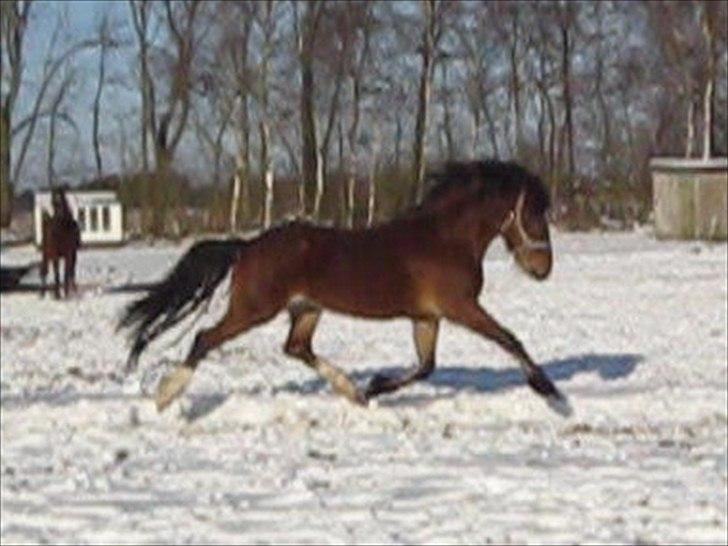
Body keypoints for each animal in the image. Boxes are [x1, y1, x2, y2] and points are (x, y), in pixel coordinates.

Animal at [119, 159, 572, 414]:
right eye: (533, 214)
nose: (544, 268)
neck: (446, 238)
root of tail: (247, 245)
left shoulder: (427, 316)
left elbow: (426, 365)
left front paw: (376, 384)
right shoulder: (459, 307)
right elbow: (509, 339)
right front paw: (553, 395)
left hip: (307, 308)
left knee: (296, 347)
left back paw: (353, 391)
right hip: (255, 308)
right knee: (206, 337)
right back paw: (166, 396)